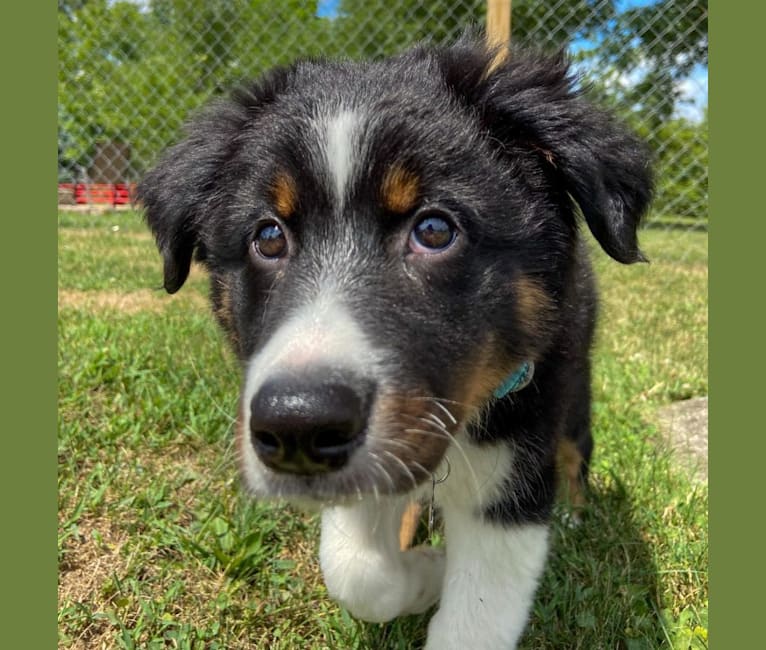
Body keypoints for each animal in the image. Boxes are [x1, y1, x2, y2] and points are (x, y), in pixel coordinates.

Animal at [140, 39, 656, 648]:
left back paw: (575, 515)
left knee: (577, 450)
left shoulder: (514, 466)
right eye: (267, 237)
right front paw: (426, 570)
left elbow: (475, 618)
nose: (297, 427)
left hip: (572, 390)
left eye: (434, 230)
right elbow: (356, 569)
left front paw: (439, 571)